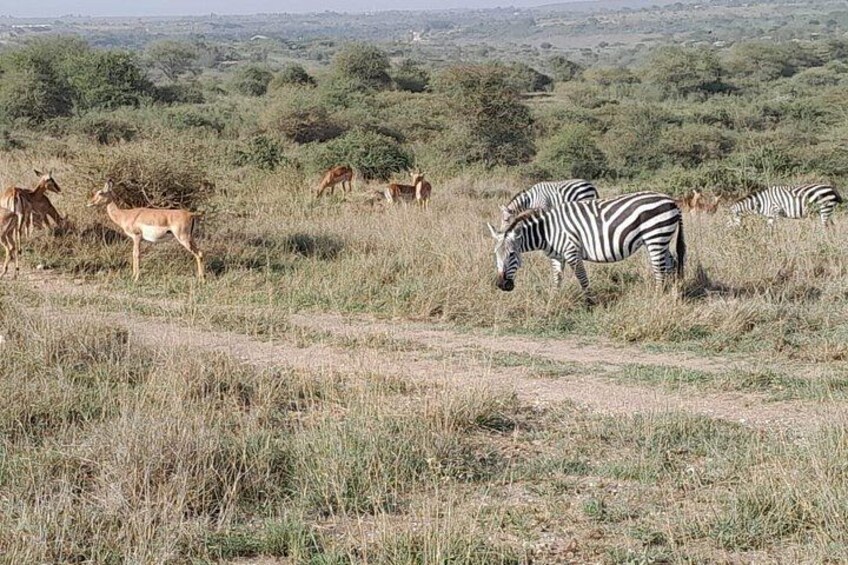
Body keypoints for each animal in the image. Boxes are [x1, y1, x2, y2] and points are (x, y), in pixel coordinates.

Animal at [486, 191, 685, 302]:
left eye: (512, 254)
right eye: (495, 255)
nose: (502, 285)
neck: (547, 231)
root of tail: (671, 200)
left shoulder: (571, 251)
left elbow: (582, 277)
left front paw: (590, 302)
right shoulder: (556, 256)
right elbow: (557, 279)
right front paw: (553, 300)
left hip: (655, 236)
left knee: (660, 270)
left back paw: (657, 298)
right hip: (662, 239)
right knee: (673, 263)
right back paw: (673, 295)